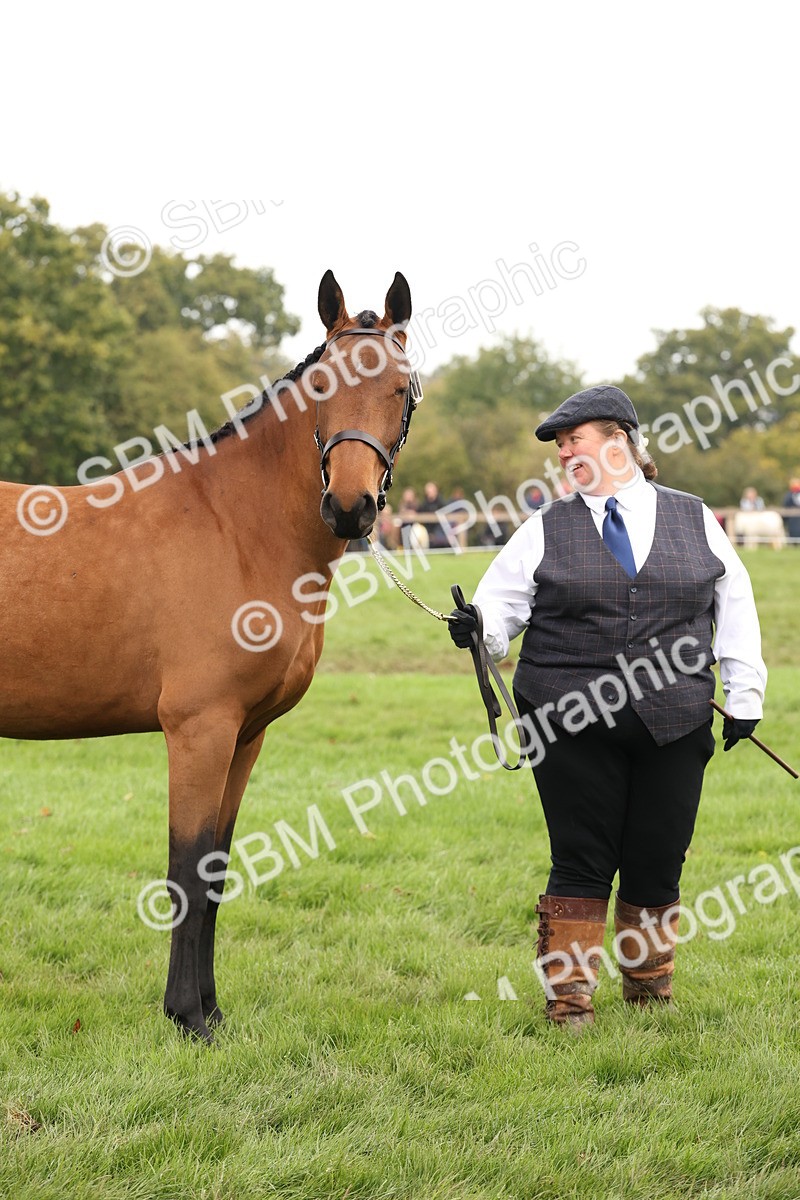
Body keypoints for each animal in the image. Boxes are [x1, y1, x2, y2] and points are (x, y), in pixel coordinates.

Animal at [0, 270, 418, 1042]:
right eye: (322, 387)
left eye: (401, 390)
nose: (350, 508)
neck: (236, 526)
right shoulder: (200, 730)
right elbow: (187, 872)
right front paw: (186, 1016)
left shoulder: (246, 736)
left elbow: (218, 872)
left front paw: (212, 1011)